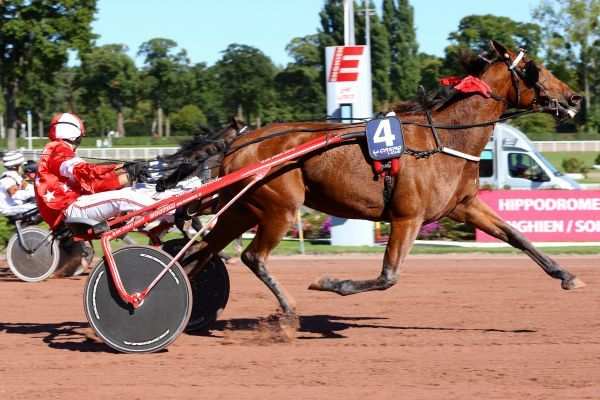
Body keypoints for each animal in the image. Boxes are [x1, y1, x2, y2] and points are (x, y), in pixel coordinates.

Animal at [169, 40, 584, 317]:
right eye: (534, 68)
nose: (575, 97)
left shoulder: (463, 206)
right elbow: (388, 276)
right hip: (279, 207)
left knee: (199, 255)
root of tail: (238, 143)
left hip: (242, 210)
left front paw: (567, 275)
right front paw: (330, 283)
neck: (444, 139)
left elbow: (516, 236)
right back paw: (286, 306)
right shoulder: (408, 217)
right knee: (252, 256)